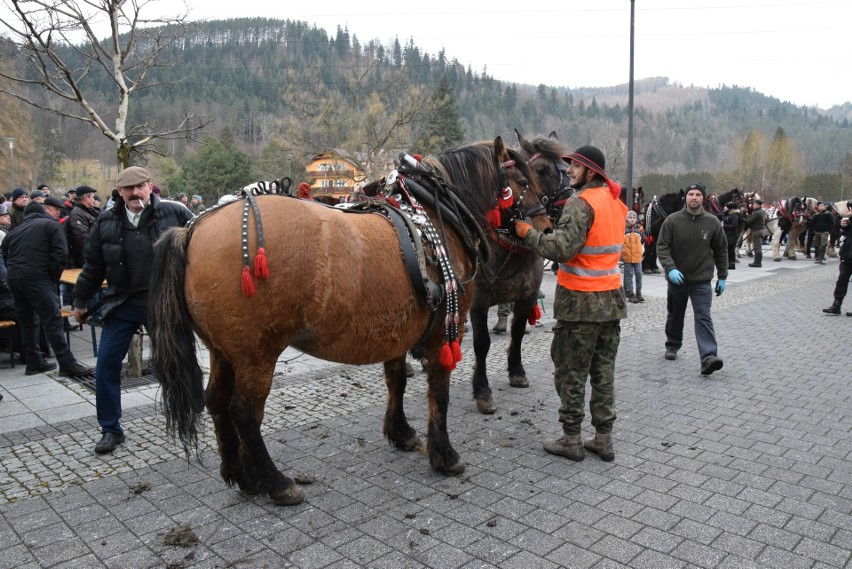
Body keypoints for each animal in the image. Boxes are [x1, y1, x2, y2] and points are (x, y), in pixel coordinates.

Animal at [150, 135, 548, 504]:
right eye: (523, 180)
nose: (545, 227)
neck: (436, 216)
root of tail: (193, 229)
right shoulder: (441, 332)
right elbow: (439, 390)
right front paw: (445, 455)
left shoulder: (399, 327)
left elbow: (396, 379)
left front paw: (401, 432)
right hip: (256, 354)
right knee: (244, 412)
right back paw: (276, 482)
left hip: (222, 349)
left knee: (216, 402)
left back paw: (242, 477)